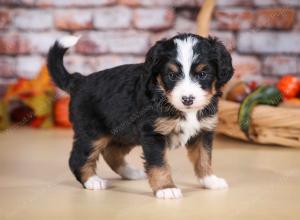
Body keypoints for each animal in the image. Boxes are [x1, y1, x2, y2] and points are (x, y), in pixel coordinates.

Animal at [47, 33, 234, 199]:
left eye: (203, 74)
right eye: (171, 75)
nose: (187, 99)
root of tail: (79, 80)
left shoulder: (204, 131)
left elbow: (204, 157)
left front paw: (210, 180)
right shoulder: (153, 134)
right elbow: (159, 163)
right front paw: (166, 188)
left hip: (125, 133)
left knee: (111, 152)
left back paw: (131, 173)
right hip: (92, 132)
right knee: (78, 158)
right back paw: (93, 181)